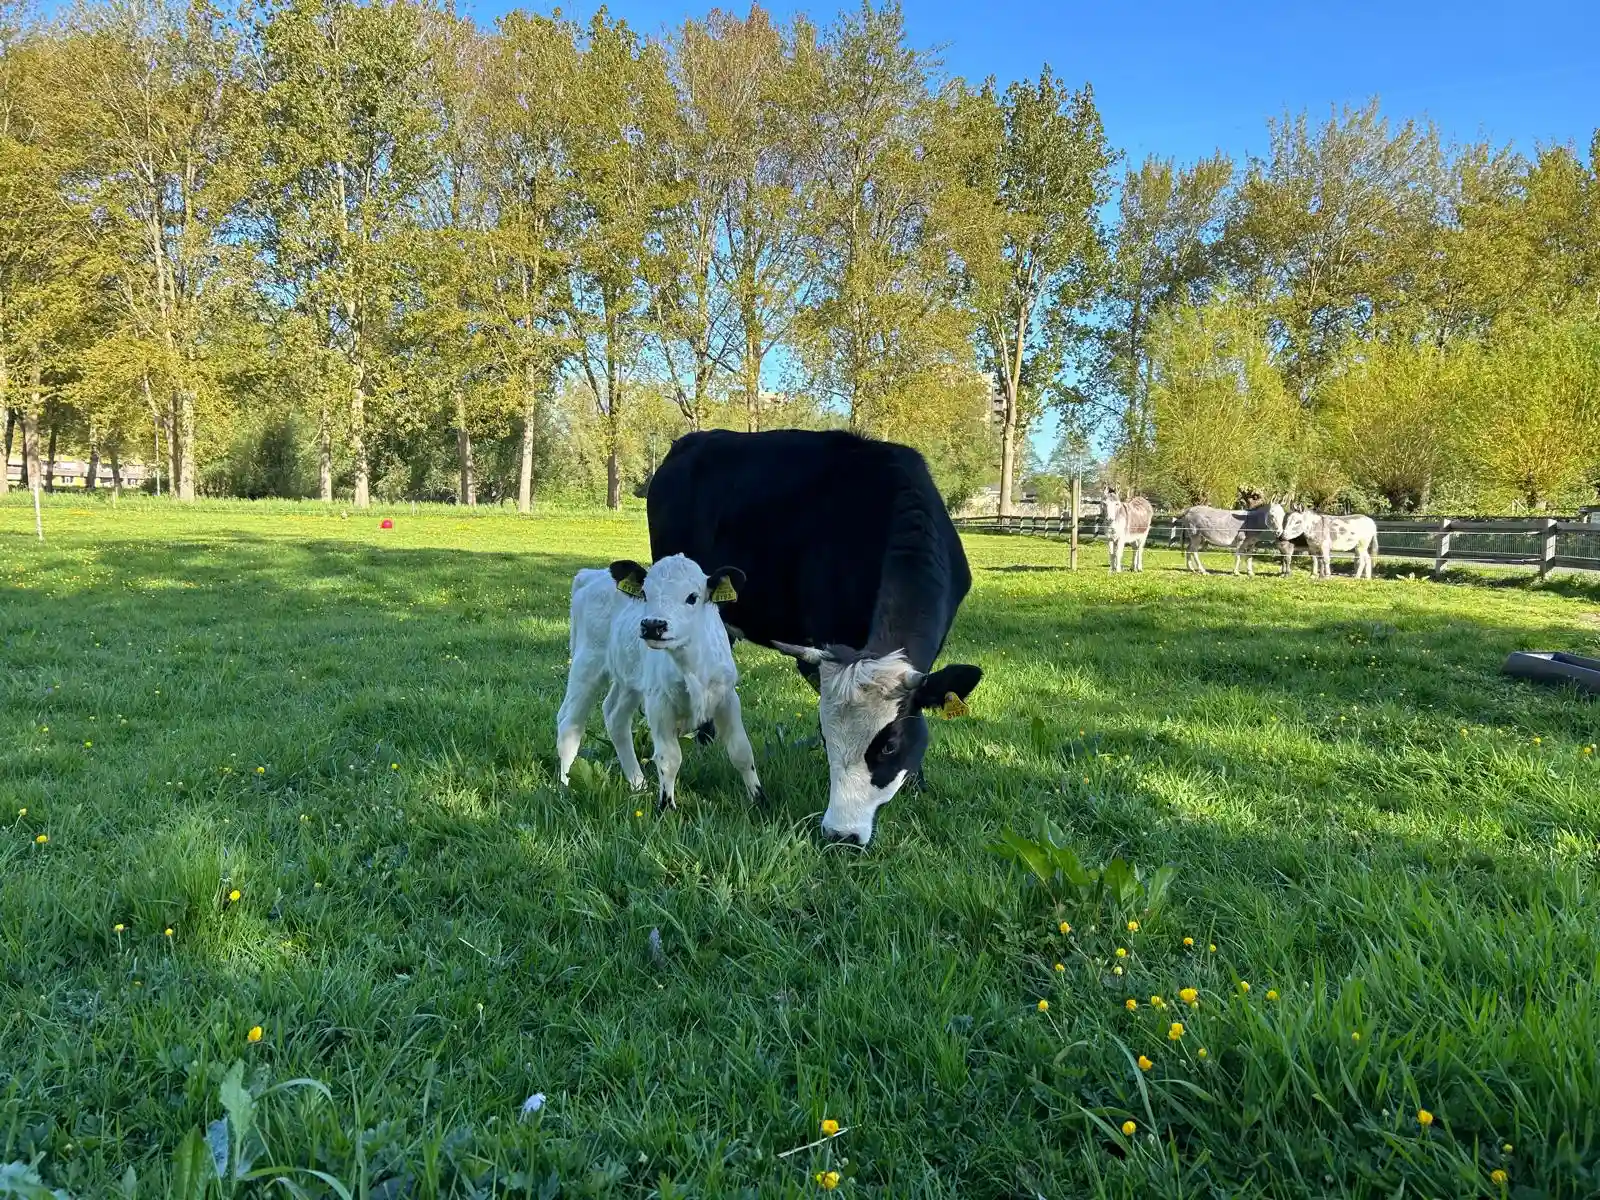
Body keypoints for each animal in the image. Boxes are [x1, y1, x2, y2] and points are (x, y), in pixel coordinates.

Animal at [555, 554, 764, 813]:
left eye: (692, 597)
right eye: (645, 594)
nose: (653, 625)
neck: (691, 667)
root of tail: (590, 575)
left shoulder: (727, 697)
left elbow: (741, 750)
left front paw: (759, 800)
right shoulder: (658, 702)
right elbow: (669, 759)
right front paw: (666, 807)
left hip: (629, 679)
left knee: (615, 716)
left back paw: (638, 783)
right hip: (586, 664)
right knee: (569, 724)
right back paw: (565, 786)